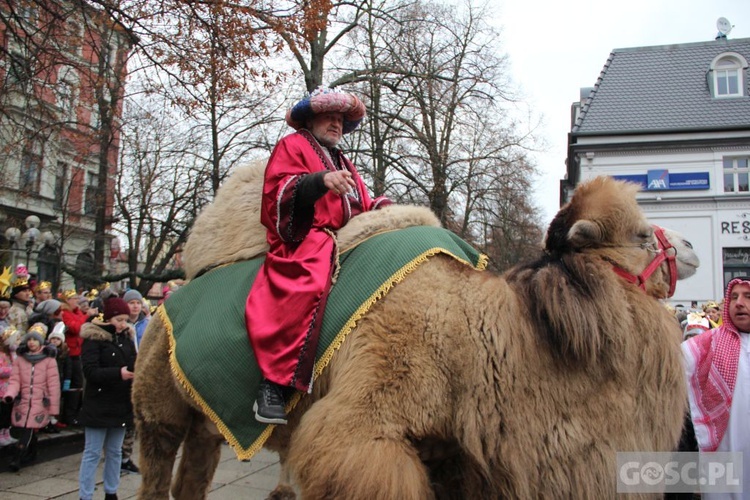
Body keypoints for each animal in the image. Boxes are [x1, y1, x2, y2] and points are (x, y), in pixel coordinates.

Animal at [132, 169, 704, 500]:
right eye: (640, 234)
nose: (692, 246)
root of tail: (166, 301)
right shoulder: (363, 436)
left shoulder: (456, 454)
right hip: (157, 410)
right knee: (158, 464)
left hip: (206, 423)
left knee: (192, 476)